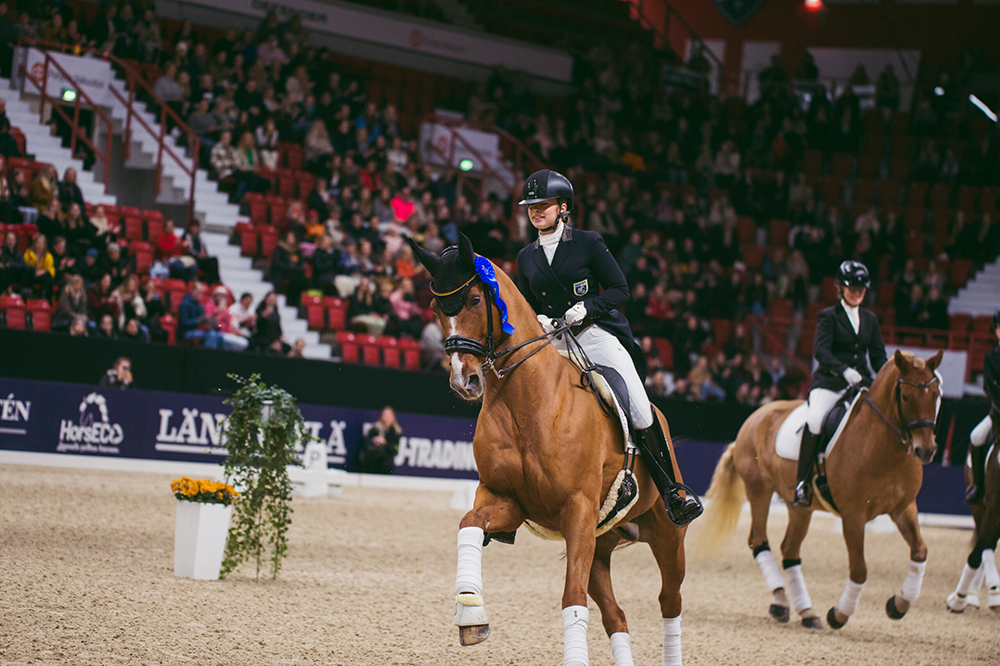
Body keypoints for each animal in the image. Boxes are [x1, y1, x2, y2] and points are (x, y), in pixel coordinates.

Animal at [412, 235, 688, 664]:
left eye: (474, 299)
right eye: (435, 308)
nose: (464, 380)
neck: (527, 402)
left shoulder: (577, 510)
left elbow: (572, 600)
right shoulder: (507, 499)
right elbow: (468, 523)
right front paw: (470, 612)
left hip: (665, 535)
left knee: (669, 601)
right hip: (601, 542)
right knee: (617, 615)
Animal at [700, 350, 940, 632]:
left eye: (936, 395)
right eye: (905, 397)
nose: (926, 450)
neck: (884, 445)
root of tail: (755, 417)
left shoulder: (904, 508)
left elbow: (920, 551)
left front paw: (899, 603)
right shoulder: (853, 516)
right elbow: (859, 569)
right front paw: (839, 614)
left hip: (799, 507)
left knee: (790, 551)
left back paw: (806, 611)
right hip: (759, 490)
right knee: (759, 541)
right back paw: (781, 600)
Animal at [944, 402, 1000, 608]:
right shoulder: (993, 507)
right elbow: (980, 549)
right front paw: (959, 599)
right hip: (979, 507)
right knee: (984, 545)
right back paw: (973, 595)